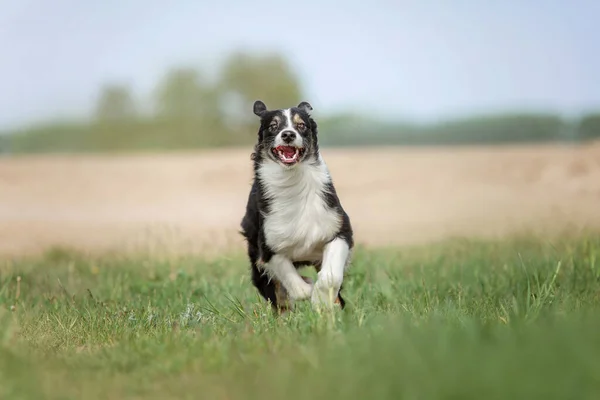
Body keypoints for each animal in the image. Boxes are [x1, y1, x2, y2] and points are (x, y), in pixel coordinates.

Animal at [239, 99, 352, 312]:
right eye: (273, 126)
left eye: (301, 125)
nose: (288, 134)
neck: (293, 179)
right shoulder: (268, 248)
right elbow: (296, 287)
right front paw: (308, 288)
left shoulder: (339, 230)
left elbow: (331, 276)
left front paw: (321, 299)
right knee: (280, 303)